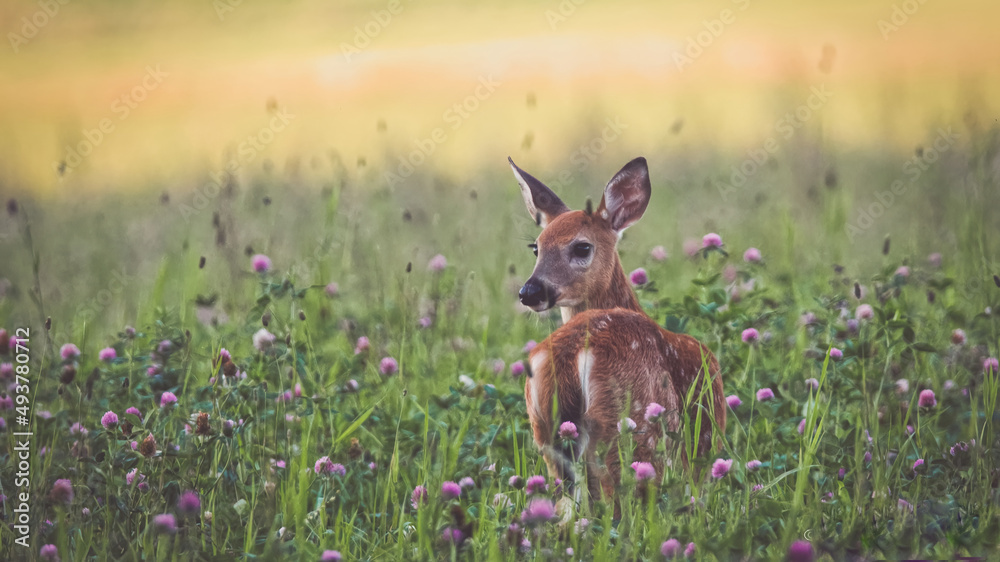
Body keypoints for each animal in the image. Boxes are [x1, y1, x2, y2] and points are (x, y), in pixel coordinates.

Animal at [509, 156, 726, 503]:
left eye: (582, 247)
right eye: (537, 248)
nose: (530, 291)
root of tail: (569, 355)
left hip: (547, 434)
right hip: (631, 428)